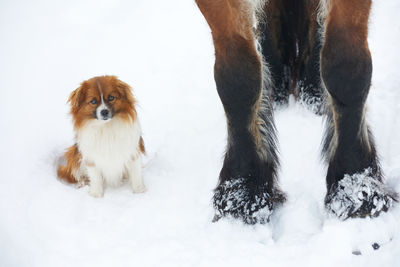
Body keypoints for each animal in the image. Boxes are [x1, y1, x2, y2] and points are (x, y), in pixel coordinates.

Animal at [196, 0, 396, 224]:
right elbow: (237, 76)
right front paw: (243, 188)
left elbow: (346, 68)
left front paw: (354, 183)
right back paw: (275, 82)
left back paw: (313, 88)